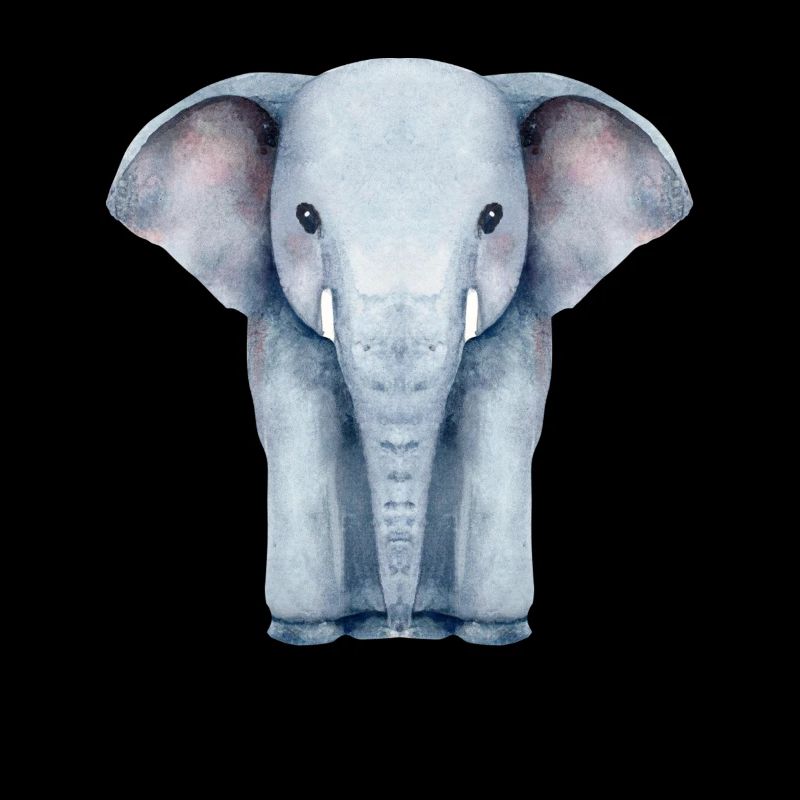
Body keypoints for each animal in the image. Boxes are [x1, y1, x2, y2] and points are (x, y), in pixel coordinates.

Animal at [108, 58, 691, 645]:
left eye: (493, 218)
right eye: (305, 218)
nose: (399, 628)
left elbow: (499, 424)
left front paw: (492, 630)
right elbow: (298, 424)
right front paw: (306, 631)